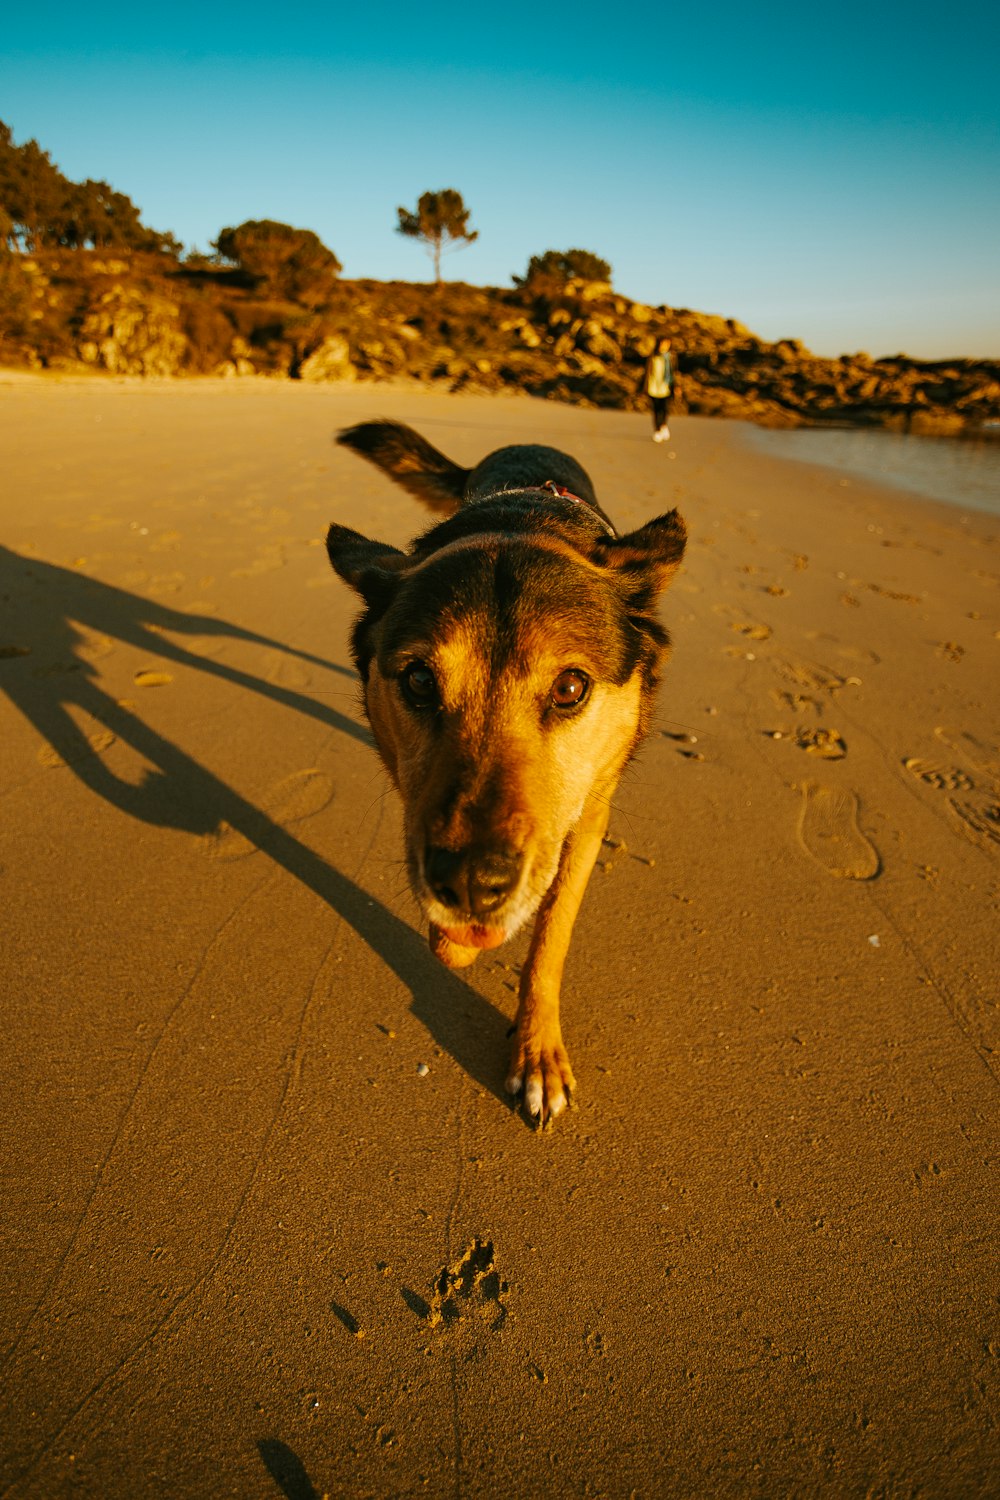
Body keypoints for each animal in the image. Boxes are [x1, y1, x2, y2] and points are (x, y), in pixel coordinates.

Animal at [328, 423, 689, 1128]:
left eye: (571, 688)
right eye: (418, 681)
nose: (470, 884)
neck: (524, 522)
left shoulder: (589, 817)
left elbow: (550, 935)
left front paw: (537, 1050)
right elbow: (450, 935)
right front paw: (460, 944)